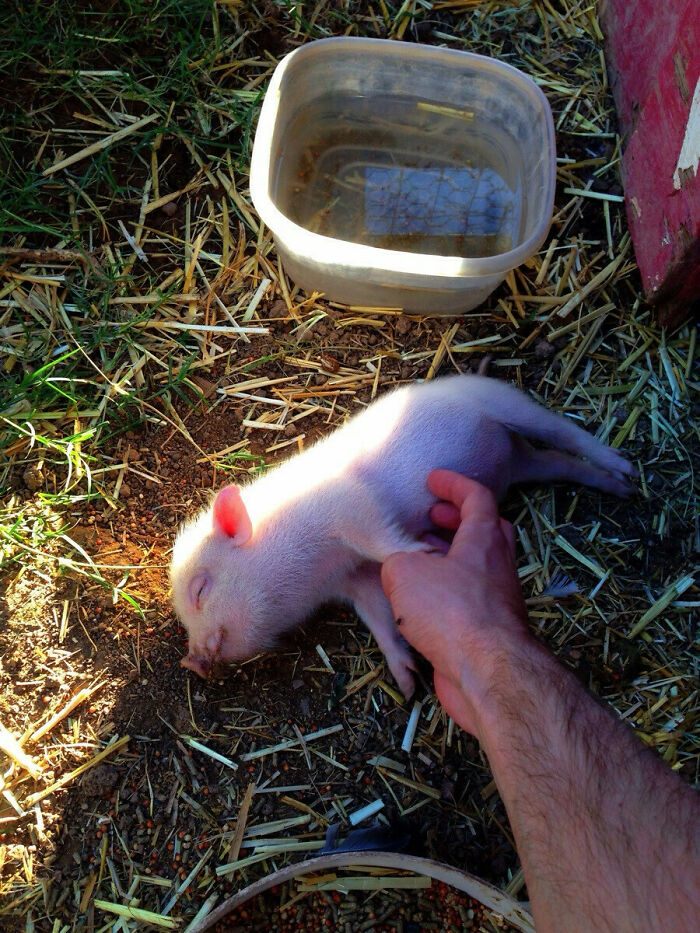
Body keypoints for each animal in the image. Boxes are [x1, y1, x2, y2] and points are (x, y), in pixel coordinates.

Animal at [170, 374, 636, 696]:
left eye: (200, 590)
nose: (189, 661)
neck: (318, 567)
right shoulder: (355, 578)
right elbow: (377, 612)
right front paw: (408, 682)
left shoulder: (348, 504)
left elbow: (382, 540)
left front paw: (427, 552)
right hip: (523, 462)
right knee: (557, 461)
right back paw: (621, 487)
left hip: (503, 401)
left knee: (562, 431)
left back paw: (625, 468)